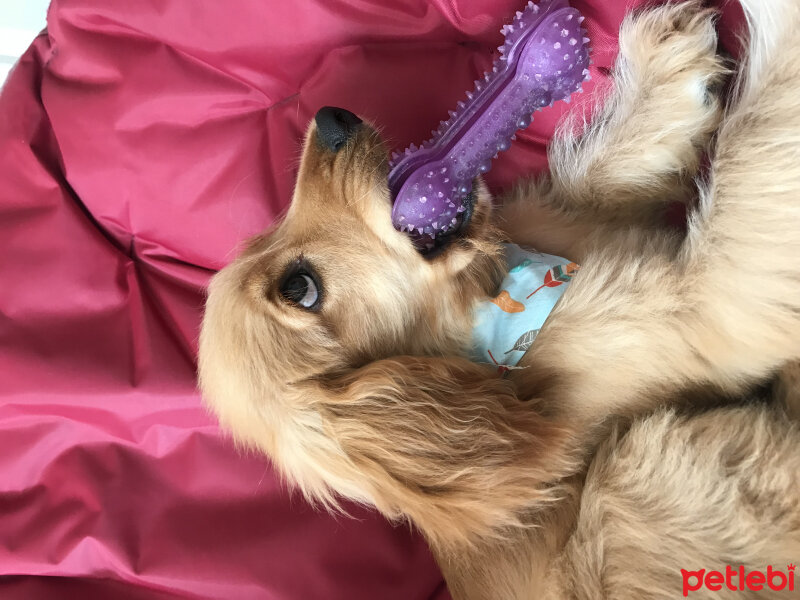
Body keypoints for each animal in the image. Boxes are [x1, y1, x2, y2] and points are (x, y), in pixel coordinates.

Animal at [197, 2, 800, 596]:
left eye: (264, 233)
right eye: (299, 288)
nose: (329, 118)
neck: (489, 292)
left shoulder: (562, 211)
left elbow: (608, 166)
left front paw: (665, 61)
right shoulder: (699, 305)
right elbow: (760, 144)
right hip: (638, 467)